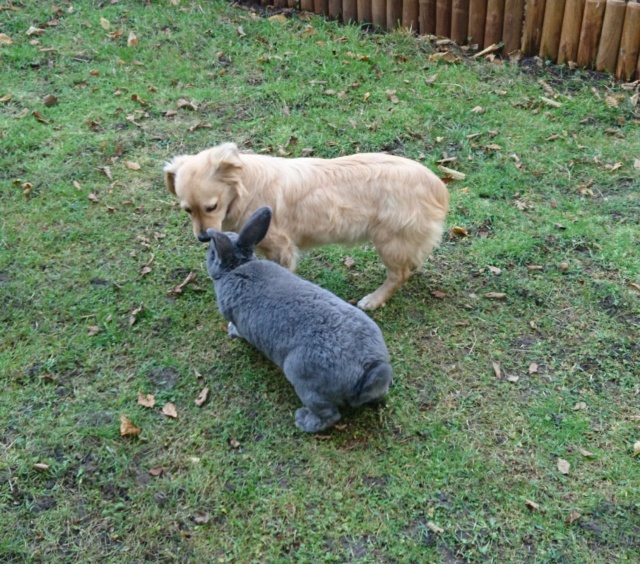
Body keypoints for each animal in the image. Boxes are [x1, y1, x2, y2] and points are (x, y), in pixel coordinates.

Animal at [165, 141, 450, 308]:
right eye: (187, 210)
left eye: (211, 207)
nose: (203, 237)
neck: (245, 187)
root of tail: (438, 186)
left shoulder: (282, 248)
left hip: (389, 242)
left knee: (398, 275)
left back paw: (373, 300)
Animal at [202, 207, 392, 432]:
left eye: (212, 254)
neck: (236, 268)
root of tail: (367, 372)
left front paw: (232, 331)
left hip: (303, 379)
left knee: (330, 415)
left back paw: (303, 420)